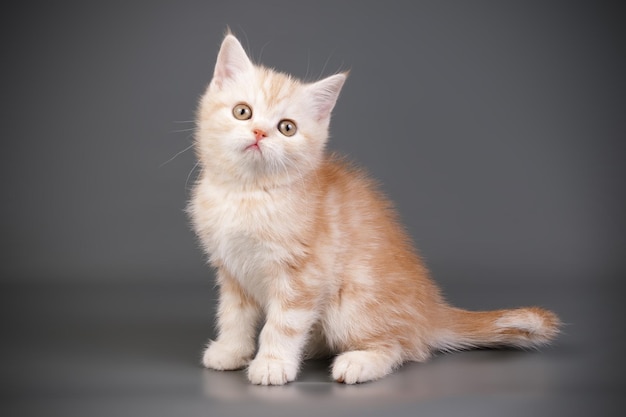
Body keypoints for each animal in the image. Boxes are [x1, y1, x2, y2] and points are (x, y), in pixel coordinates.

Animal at [188, 34, 560, 386]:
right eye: (242, 112)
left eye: (287, 128)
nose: (260, 132)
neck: (248, 193)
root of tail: (429, 312)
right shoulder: (231, 270)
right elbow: (233, 315)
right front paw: (231, 351)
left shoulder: (304, 275)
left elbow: (283, 324)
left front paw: (272, 363)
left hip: (353, 302)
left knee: (400, 347)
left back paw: (358, 362)